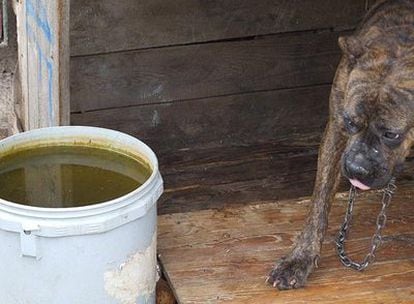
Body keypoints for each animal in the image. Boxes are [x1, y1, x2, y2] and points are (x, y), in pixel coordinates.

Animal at [266, 0, 414, 290]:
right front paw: (299, 259)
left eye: (391, 134)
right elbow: (319, 203)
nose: (356, 168)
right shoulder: (335, 131)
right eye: (350, 121)